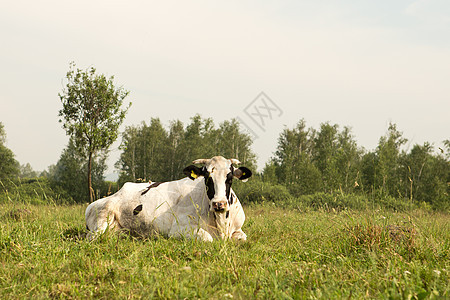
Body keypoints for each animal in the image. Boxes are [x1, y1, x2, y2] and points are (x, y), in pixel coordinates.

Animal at [86, 156, 251, 243]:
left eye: (230, 178)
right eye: (207, 178)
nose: (219, 203)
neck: (222, 223)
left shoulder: (238, 229)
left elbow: (243, 237)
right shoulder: (178, 229)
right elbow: (207, 238)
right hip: (103, 216)